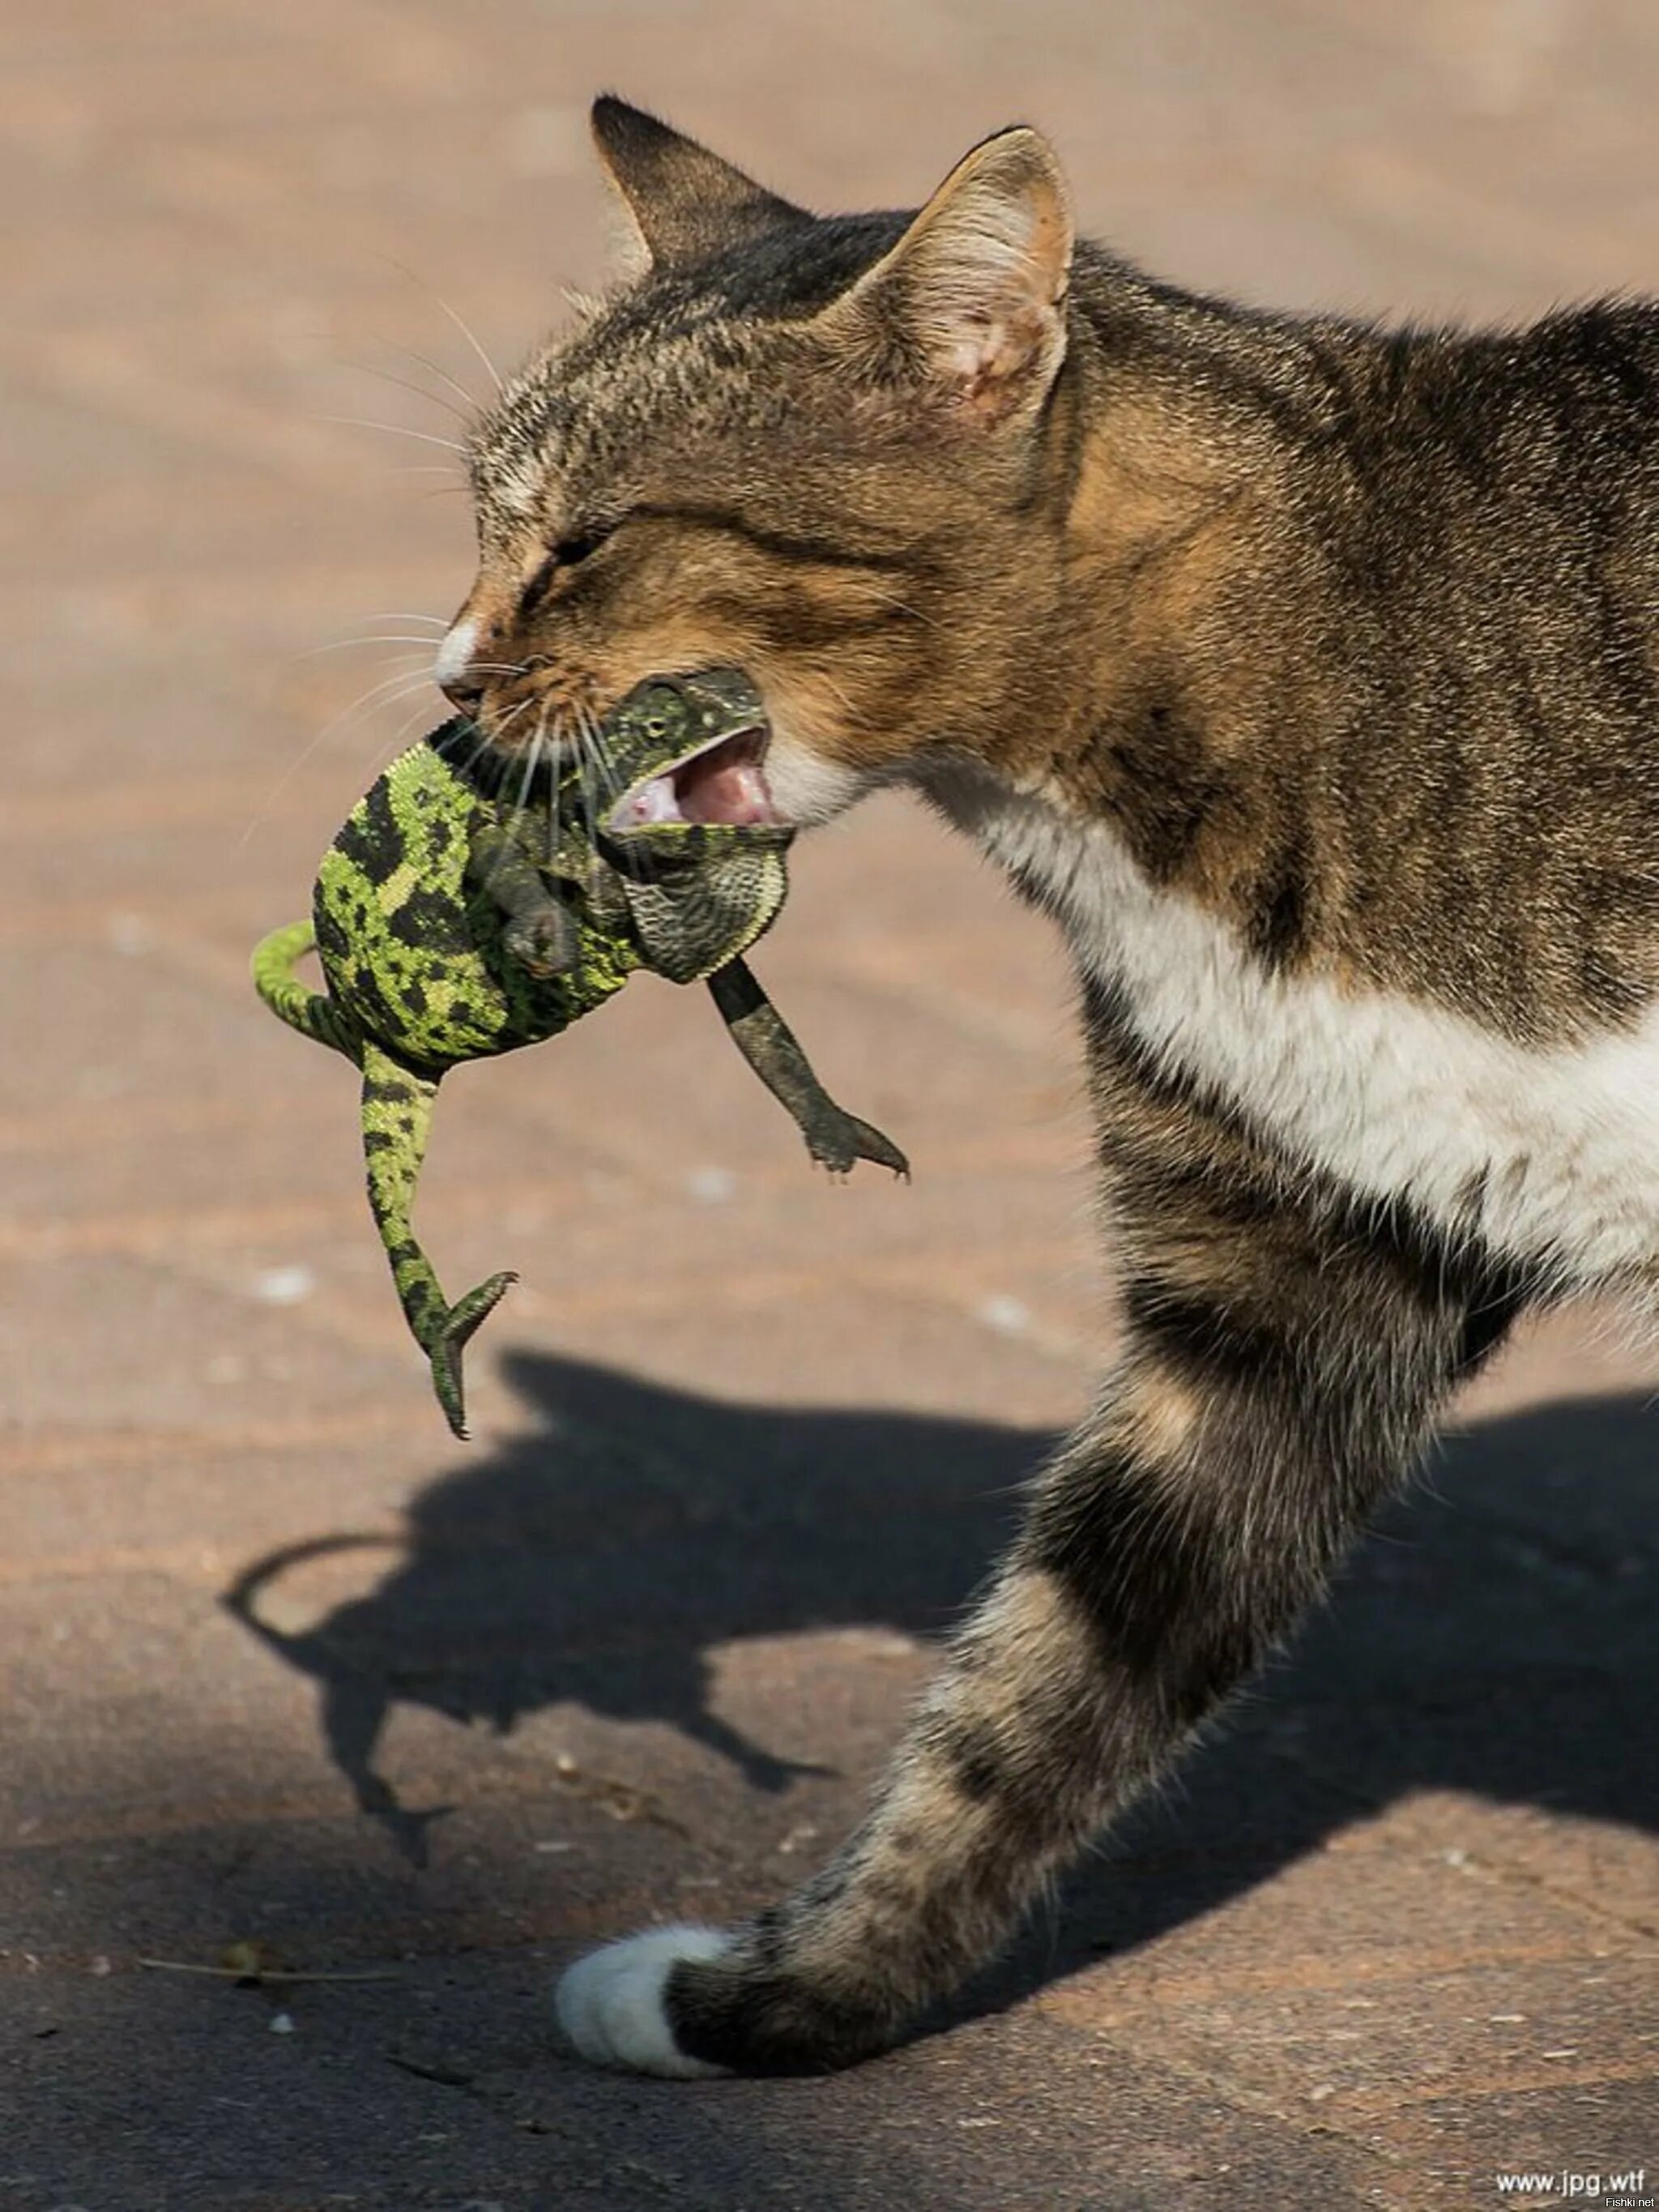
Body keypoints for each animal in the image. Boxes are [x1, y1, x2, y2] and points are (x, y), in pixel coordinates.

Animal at [431, 99, 1659, 2070]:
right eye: (485, 516)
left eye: (591, 542)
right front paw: (768, 2000)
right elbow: (1041, 1687)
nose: (453, 676)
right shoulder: (1275, 1286)